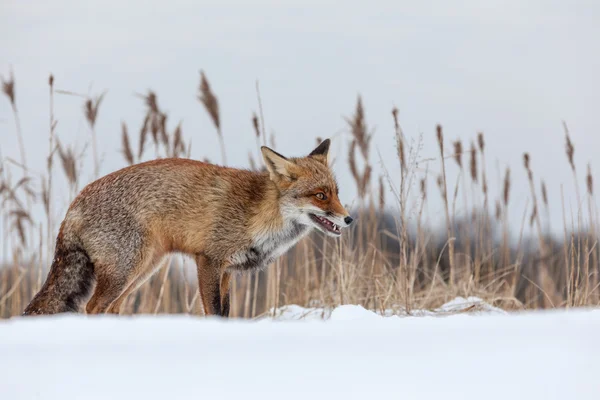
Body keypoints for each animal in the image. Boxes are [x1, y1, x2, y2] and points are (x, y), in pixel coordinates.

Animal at [23, 139, 352, 318]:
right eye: (320, 195)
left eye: (336, 193)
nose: (349, 219)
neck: (259, 213)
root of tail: (73, 204)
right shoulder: (208, 260)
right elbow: (215, 312)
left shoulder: (227, 271)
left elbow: (226, 312)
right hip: (126, 270)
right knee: (92, 307)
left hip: (143, 270)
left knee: (110, 308)